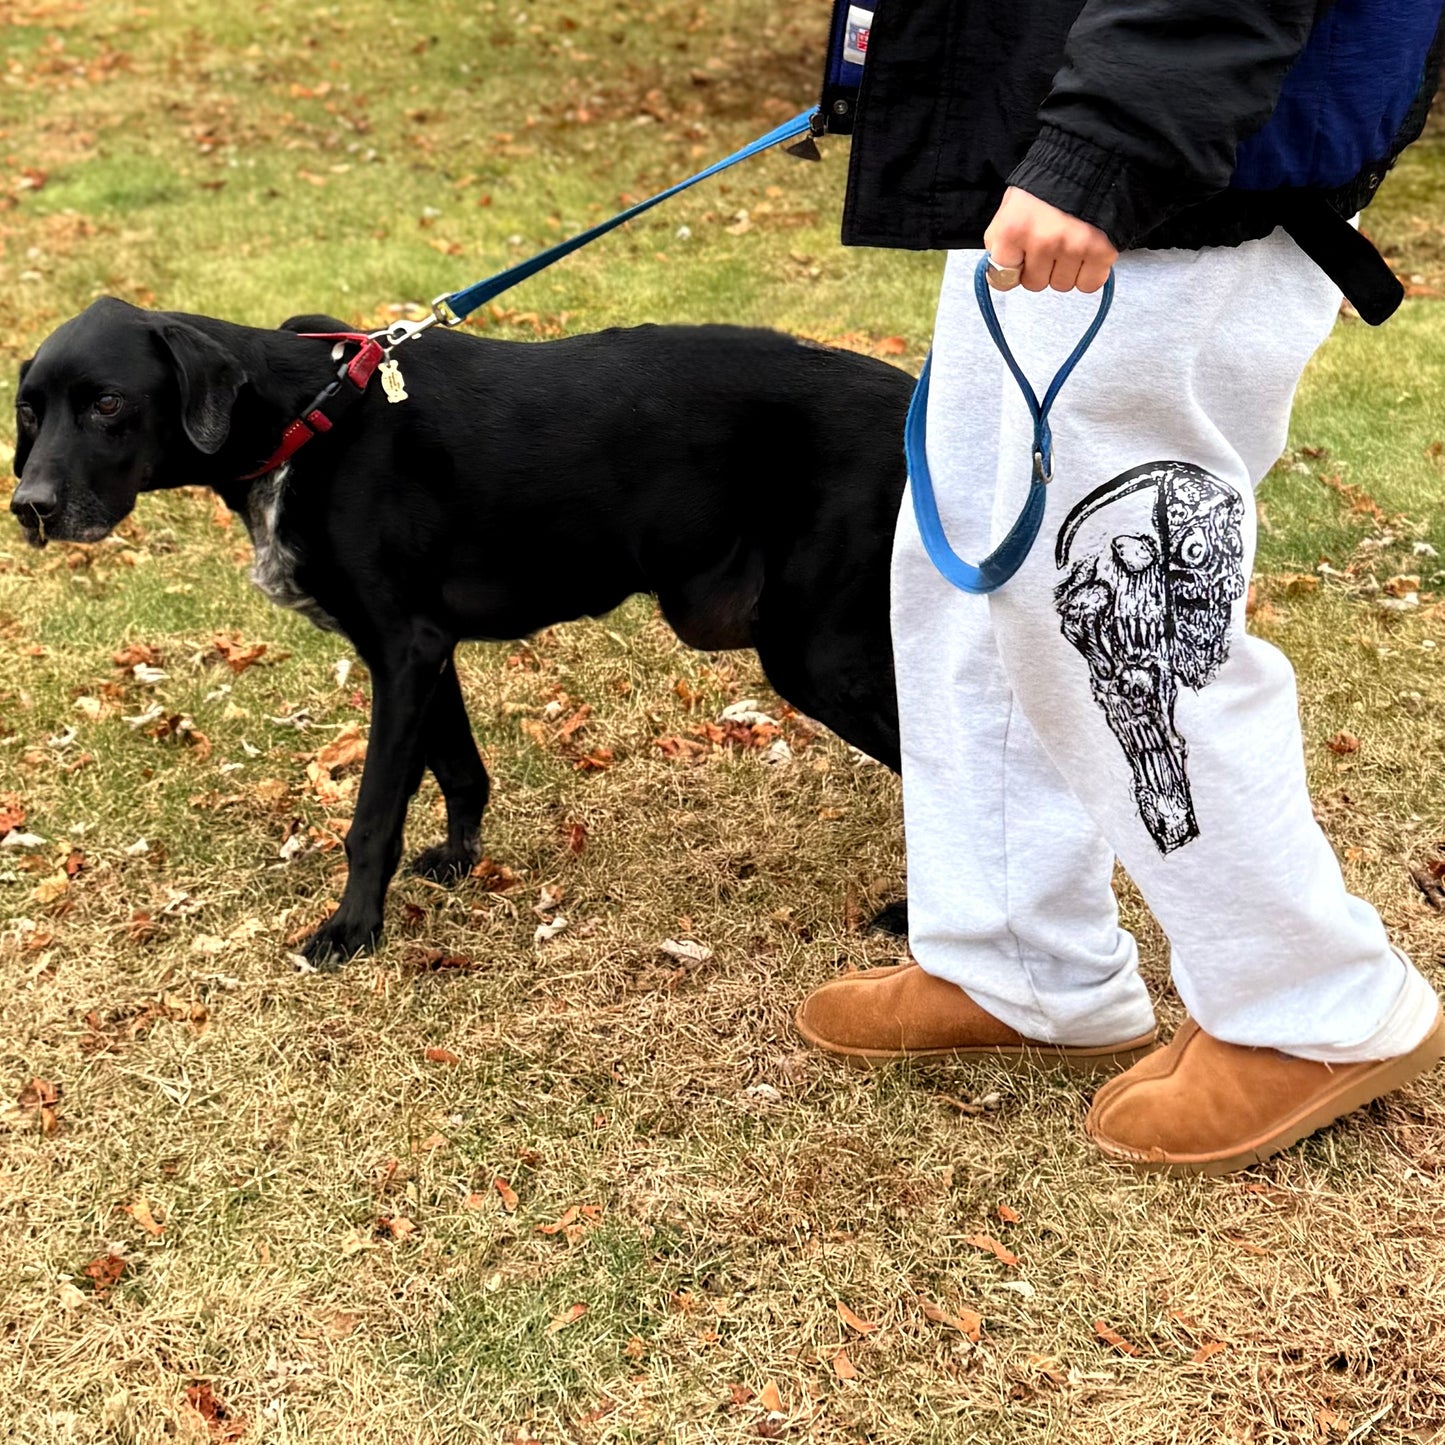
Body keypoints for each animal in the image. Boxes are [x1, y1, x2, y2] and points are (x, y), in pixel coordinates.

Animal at [14, 296, 901, 959]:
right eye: (29, 411)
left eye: (107, 402)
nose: (30, 507)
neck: (309, 417)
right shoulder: (418, 648)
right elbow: (459, 767)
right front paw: (457, 862)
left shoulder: (404, 649)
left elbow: (373, 811)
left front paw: (351, 930)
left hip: (816, 654)